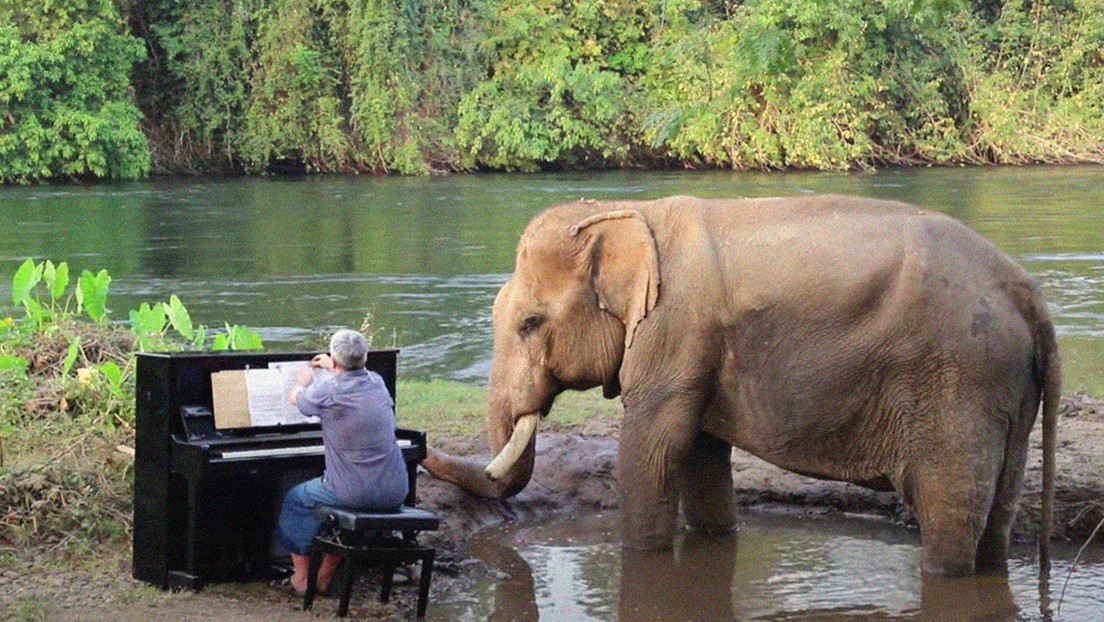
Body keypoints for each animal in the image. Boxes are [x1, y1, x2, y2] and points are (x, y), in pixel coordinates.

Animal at [423, 194, 1059, 576]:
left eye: (530, 323)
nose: (421, 449)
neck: (626, 211)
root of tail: (1027, 294)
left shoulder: (673, 332)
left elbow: (651, 453)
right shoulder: (696, 354)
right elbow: (700, 457)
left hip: (960, 379)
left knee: (951, 511)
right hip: (1004, 391)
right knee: (998, 512)